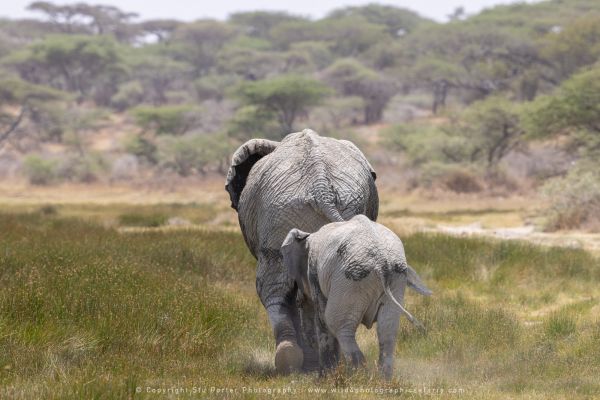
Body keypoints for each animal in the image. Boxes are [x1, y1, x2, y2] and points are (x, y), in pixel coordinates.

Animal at [282, 214, 432, 380]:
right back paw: (383, 380)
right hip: (396, 279)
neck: (309, 236)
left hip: (351, 280)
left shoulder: (314, 272)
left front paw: (324, 379)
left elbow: (322, 318)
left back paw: (359, 378)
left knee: (338, 325)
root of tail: (382, 263)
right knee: (387, 329)